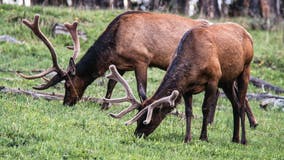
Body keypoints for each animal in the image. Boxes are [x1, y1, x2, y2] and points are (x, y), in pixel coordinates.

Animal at [18, 11, 256, 127]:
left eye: (67, 84)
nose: (67, 103)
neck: (113, 44)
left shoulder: (142, 60)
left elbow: (142, 91)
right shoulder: (121, 64)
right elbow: (111, 84)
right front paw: (104, 106)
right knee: (235, 92)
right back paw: (250, 122)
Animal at [105, 22, 254, 145]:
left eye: (147, 120)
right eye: (137, 118)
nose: (137, 134)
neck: (194, 63)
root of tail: (247, 33)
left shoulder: (214, 78)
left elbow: (205, 108)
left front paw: (203, 137)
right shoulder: (187, 88)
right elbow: (189, 112)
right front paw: (187, 138)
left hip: (245, 69)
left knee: (241, 104)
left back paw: (243, 140)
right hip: (227, 80)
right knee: (235, 104)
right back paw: (234, 138)